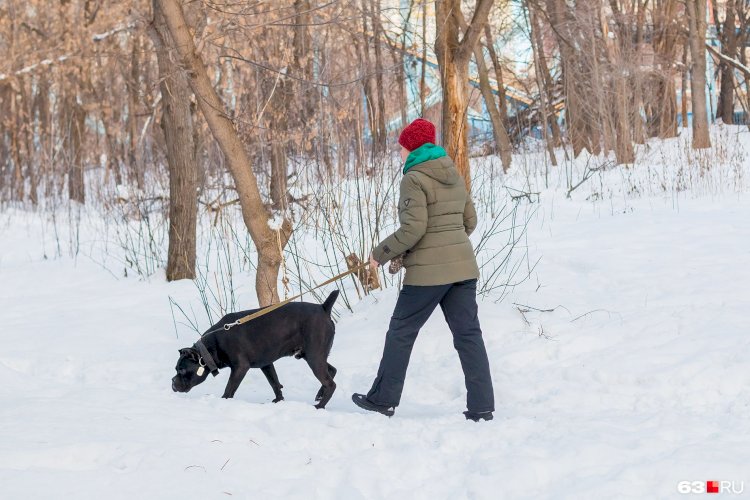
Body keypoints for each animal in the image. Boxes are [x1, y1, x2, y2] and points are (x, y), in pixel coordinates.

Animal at [173, 292, 340, 408]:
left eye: (182, 370)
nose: (173, 382)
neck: (209, 349)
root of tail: (323, 308)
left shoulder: (240, 367)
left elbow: (229, 388)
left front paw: (223, 401)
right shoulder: (266, 365)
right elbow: (275, 383)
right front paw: (279, 400)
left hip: (314, 357)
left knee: (331, 384)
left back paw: (320, 406)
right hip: (310, 355)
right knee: (332, 370)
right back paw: (319, 395)